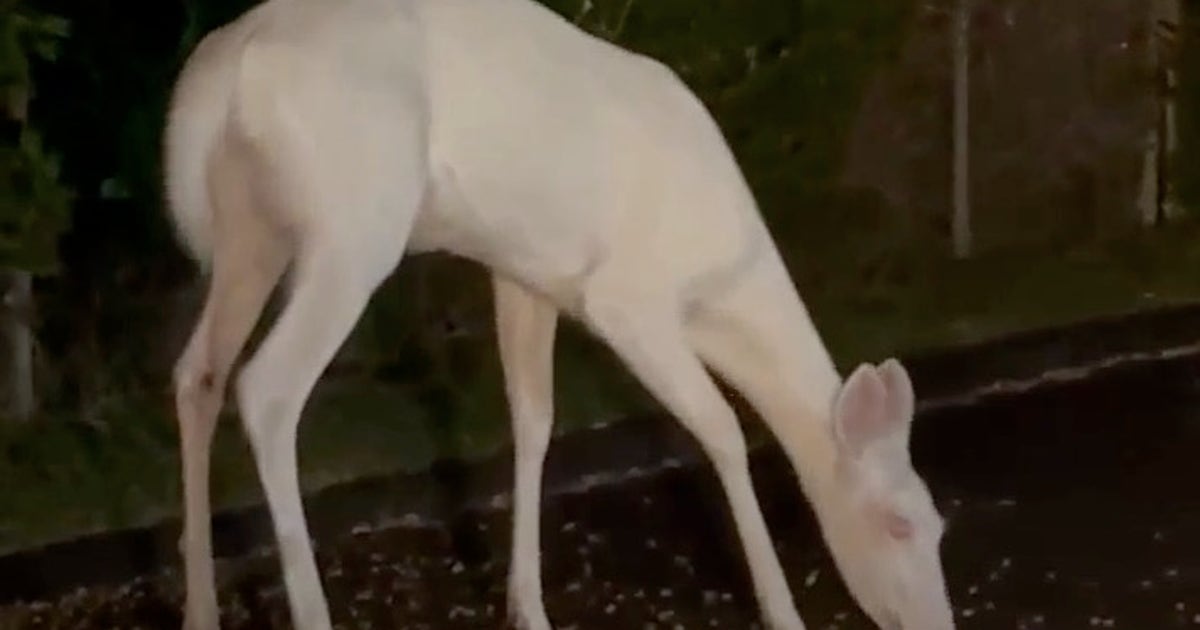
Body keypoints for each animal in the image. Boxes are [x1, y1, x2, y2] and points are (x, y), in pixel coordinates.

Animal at [164, 0, 956, 628]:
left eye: (941, 523)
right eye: (897, 525)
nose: (937, 624)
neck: (719, 296)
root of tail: (220, 80)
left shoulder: (529, 275)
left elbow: (534, 420)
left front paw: (529, 607)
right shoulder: (626, 298)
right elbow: (723, 431)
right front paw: (782, 611)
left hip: (251, 231)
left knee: (197, 373)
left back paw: (200, 608)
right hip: (354, 220)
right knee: (266, 387)